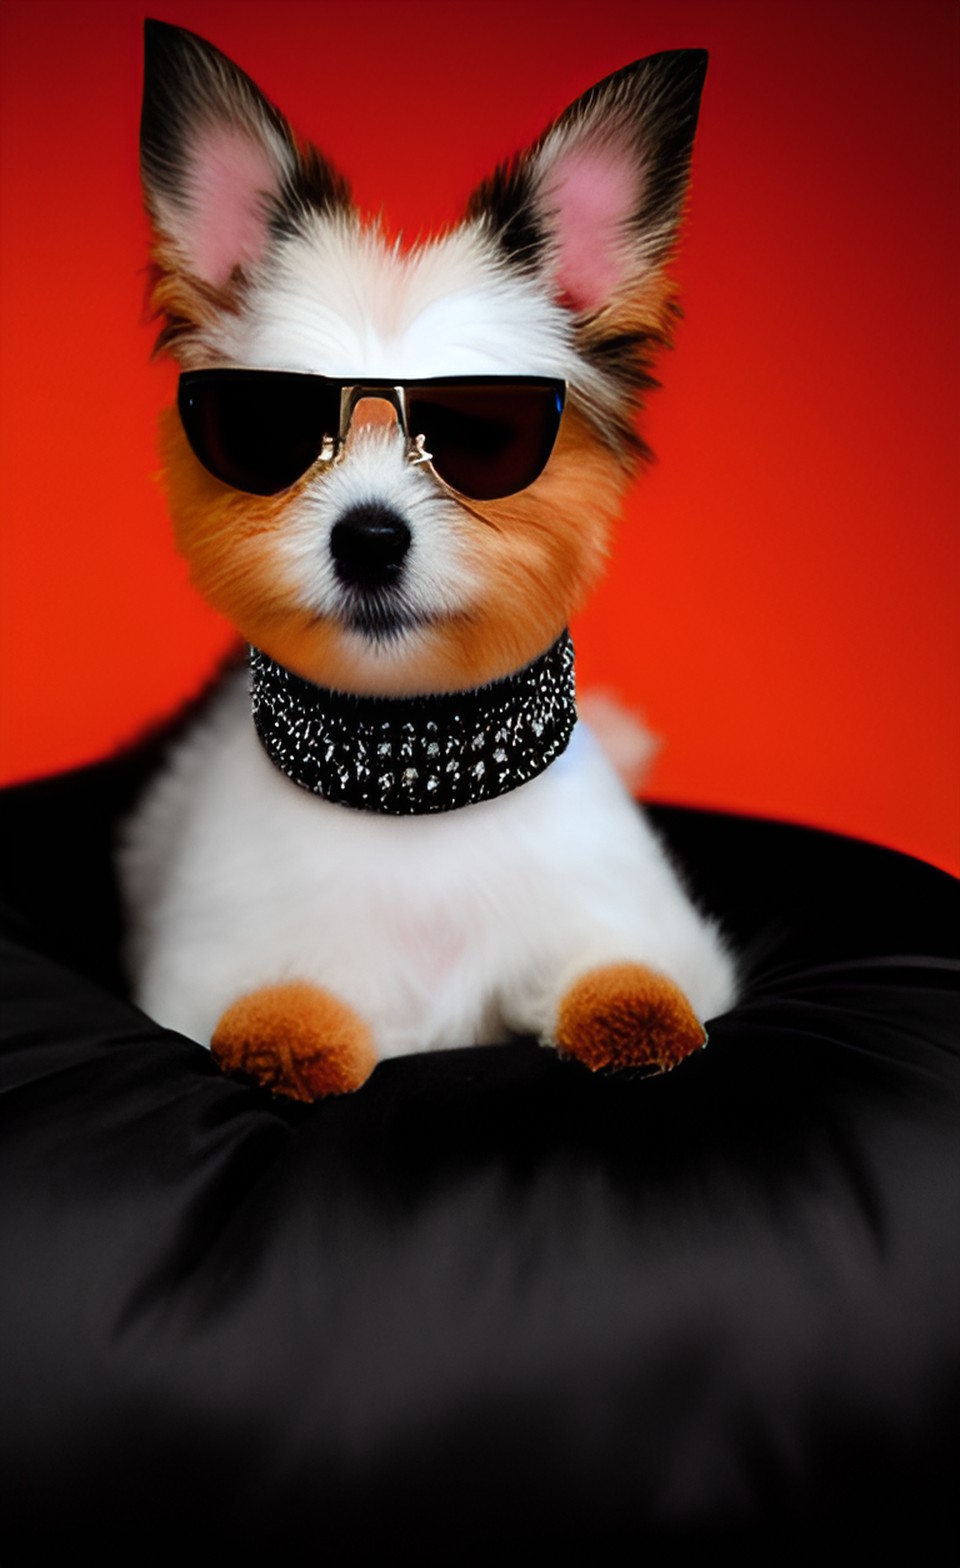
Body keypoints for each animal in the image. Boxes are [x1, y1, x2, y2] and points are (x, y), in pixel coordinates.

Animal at [120, 18, 734, 1097]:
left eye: (482, 434)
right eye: (268, 430)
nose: (368, 537)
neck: (413, 773)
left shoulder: (662, 941)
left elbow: (631, 975)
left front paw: (634, 1018)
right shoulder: (197, 984)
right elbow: (268, 1006)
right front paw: (290, 1034)